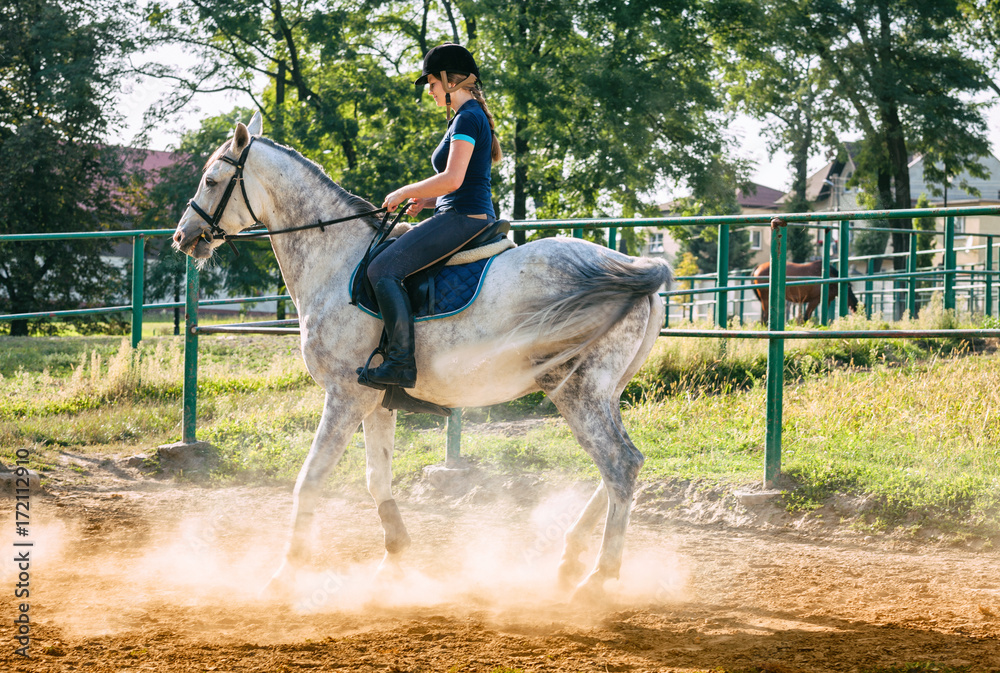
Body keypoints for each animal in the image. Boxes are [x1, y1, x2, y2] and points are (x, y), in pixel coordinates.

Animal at [170, 113, 672, 600]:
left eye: (211, 180)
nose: (182, 236)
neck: (336, 261)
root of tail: (632, 268)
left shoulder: (345, 395)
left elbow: (310, 478)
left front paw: (284, 574)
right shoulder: (375, 399)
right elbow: (377, 478)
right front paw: (394, 558)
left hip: (576, 389)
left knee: (619, 464)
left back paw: (598, 577)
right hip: (602, 392)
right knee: (620, 467)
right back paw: (570, 560)